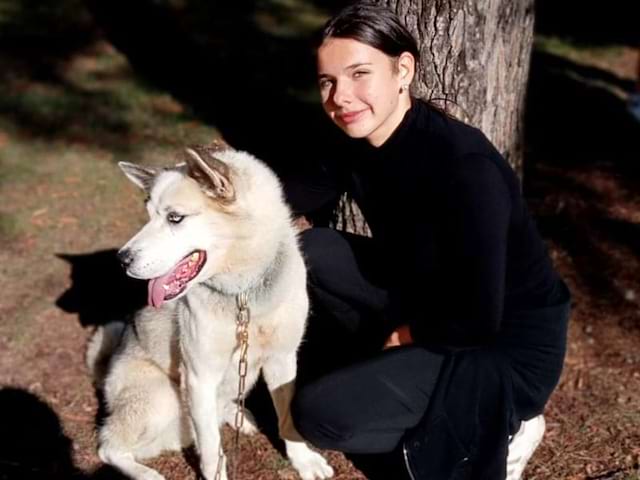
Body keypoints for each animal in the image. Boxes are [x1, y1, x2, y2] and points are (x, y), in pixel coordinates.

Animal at [89, 144, 336, 480]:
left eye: (175, 218)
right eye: (148, 215)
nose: (122, 259)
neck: (243, 296)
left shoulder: (283, 359)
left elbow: (287, 419)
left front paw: (304, 460)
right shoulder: (199, 377)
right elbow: (210, 447)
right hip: (162, 398)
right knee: (110, 447)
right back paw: (146, 473)